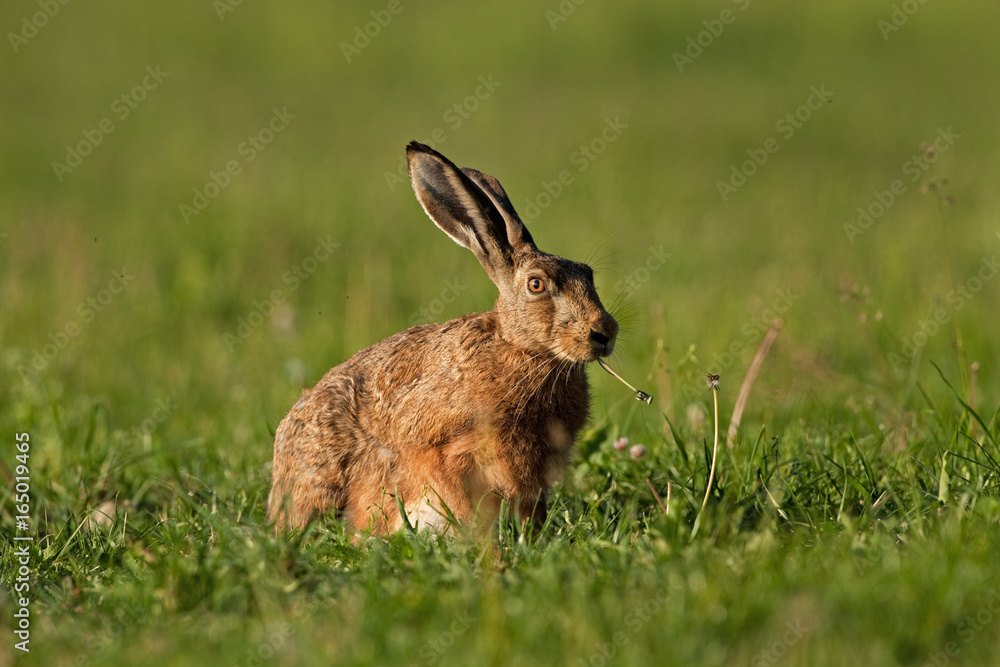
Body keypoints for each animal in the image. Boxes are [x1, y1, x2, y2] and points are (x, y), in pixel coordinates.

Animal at [268, 141, 618, 535]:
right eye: (536, 285)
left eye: (588, 275)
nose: (605, 333)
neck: (518, 348)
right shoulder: (438, 450)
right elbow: (461, 506)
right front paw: (484, 544)